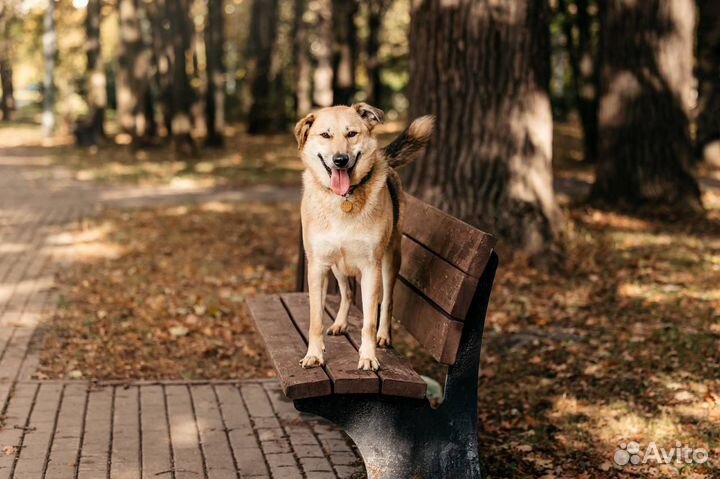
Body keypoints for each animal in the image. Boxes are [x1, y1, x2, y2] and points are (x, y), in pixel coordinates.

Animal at [294, 102, 434, 372]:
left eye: (351, 134)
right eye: (325, 135)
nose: (340, 160)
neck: (343, 199)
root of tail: (384, 157)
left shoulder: (371, 268)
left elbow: (369, 320)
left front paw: (368, 356)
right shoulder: (318, 266)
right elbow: (315, 319)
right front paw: (314, 354)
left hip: (390, 262)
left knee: (387, 301)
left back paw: (383, 336)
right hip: (337, 266)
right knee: (347, 293)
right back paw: (340, 323)